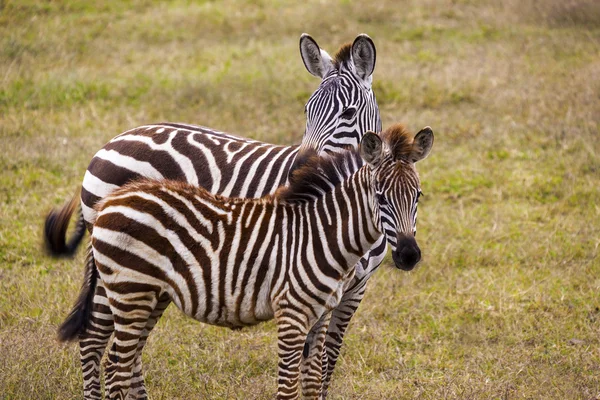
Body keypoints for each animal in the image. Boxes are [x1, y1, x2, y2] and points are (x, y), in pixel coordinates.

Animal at [48, 33, 384, 396]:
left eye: (348, 113)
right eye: (307, 110)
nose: (297, 173)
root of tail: (110, 143)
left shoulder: (354, 289)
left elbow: (327, 361)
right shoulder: (309, 278)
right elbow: (312, 362)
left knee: (130, 348)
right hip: (122, 265)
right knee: (95, 340)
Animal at [58, 123, 434, 398]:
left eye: (418, 196)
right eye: (380, 197)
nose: (408, 255)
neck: (323, 234)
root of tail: (110, 202)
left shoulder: (322, 313)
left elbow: (312, 384)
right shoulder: (292, 312)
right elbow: (288, 389)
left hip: (148, 294)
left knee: (120, 356)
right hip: (127, 288)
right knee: (107, 357)